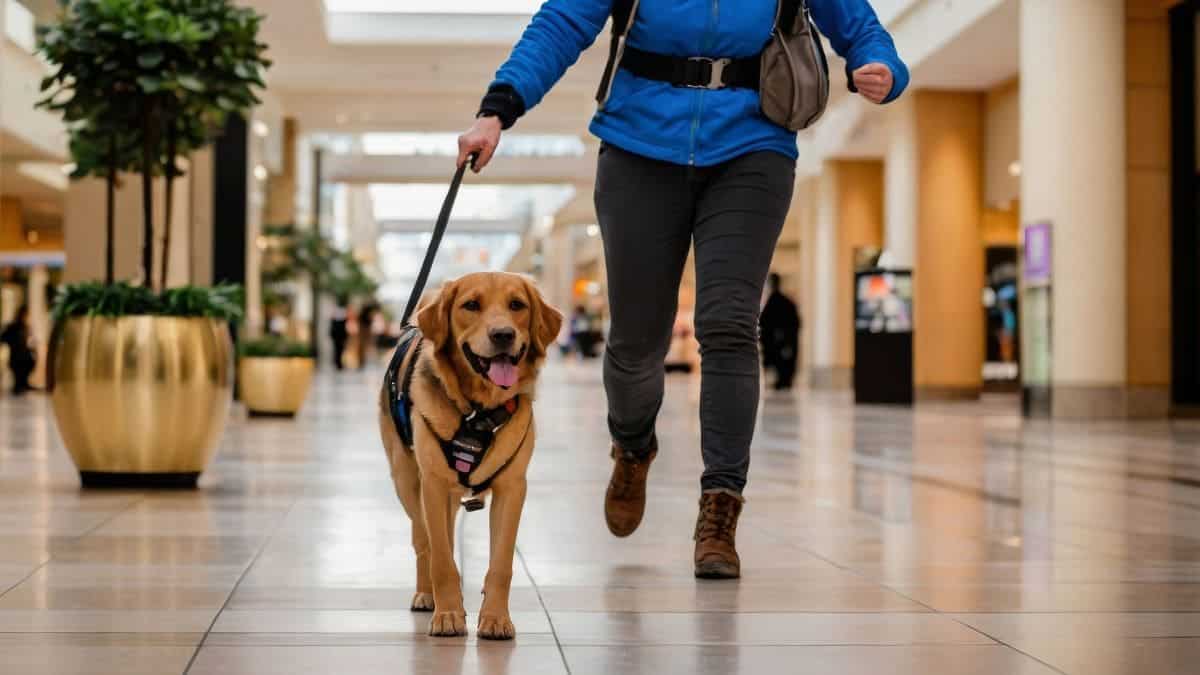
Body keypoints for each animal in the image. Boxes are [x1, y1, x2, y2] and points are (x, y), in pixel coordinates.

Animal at [376, 270, 559, 638]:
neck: (478, 412)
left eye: (517, 305)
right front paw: (448, 614)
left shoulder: (512, 488)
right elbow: (441, 559)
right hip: (406, 482)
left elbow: (501, 562)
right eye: (471, 305)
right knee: (424, 540)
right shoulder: (432, 485)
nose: (503, 335)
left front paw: (496, 618)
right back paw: (427, 595)